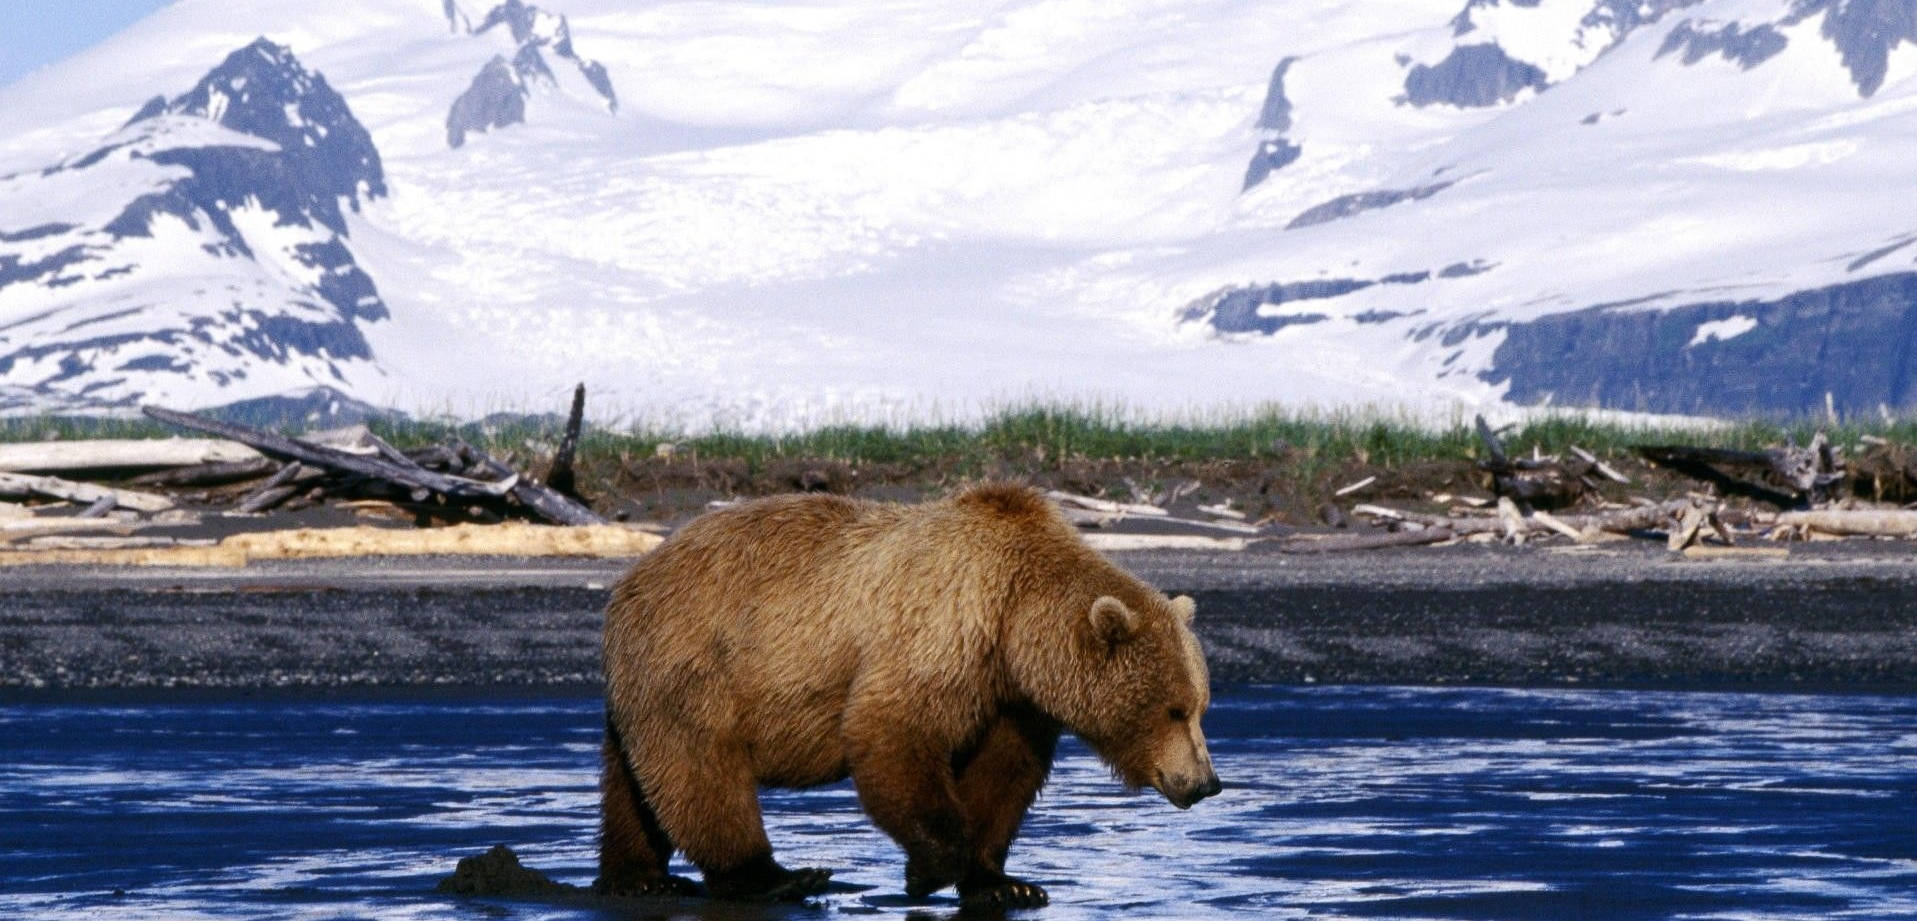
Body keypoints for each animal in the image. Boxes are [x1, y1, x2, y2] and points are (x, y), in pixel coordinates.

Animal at [598, 481, 1219, 905]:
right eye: (1173, 710)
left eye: (1200, 707)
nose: (1206, 782)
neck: (1015, 617)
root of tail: (629, 579)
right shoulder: (944, 627)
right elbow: (891, 728)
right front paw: (930, 868)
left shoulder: (1011, 696)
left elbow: (1003, 773)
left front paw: (1005, 883)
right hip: (697, 659)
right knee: (700, 768)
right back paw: (775, 875)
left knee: (635, 780)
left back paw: (640, 877)